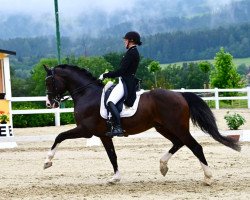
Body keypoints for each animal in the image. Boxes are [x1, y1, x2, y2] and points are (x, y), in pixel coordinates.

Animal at [43, 65, 240, 185]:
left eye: (49, 81)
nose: (49, 103)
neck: (86, 94)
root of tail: (180, 95)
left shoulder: (85, 130)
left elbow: (59, 136)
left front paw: (47, 161)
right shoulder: (103, 135)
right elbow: (112, 156)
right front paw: (115, 178)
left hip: (177, 127)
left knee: (195, 146)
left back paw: (207, 178)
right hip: (163, 127)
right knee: (179, 143)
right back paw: (163, 166)